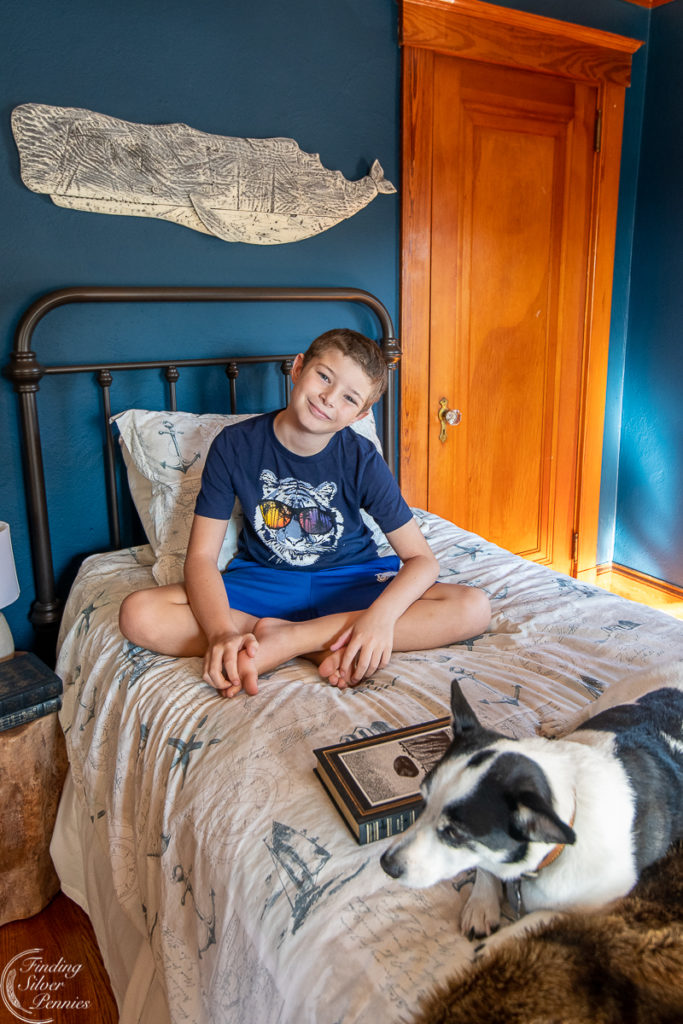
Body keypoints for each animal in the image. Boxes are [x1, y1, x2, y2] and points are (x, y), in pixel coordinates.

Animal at [378, 663, 683, 937]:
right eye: (423, 802)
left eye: (454, 833)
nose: (386, 865)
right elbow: (485, 869)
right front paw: (482, 905)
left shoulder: (599, 907)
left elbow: (537, 920)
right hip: (616, 696)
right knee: (591, 706)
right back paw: (562, 722)